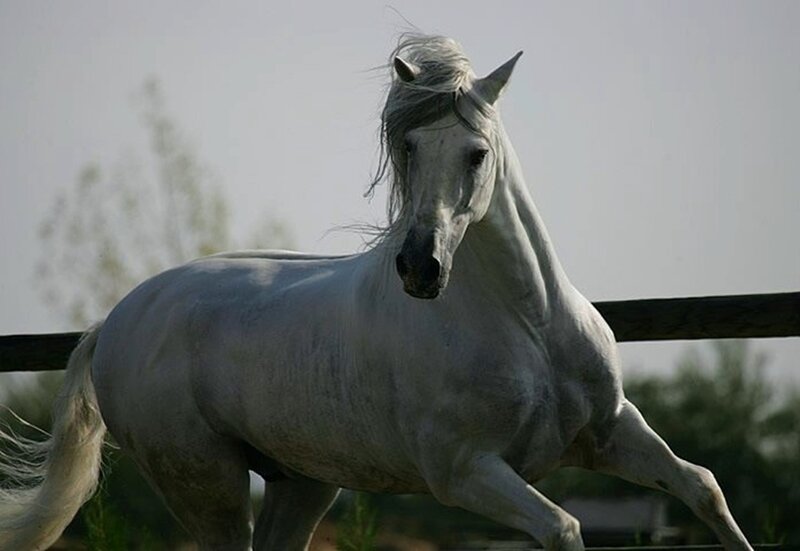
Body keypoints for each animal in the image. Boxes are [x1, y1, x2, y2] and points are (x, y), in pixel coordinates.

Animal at [0, 34, 752, 550]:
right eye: (409, 147)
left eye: (476, 153)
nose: (420, 268)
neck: (529, 325)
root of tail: (116, 319)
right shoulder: (466, 472)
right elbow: (565, 527)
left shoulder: (611, 431)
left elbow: (705, 486)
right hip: (205, 481)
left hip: (302, 484)